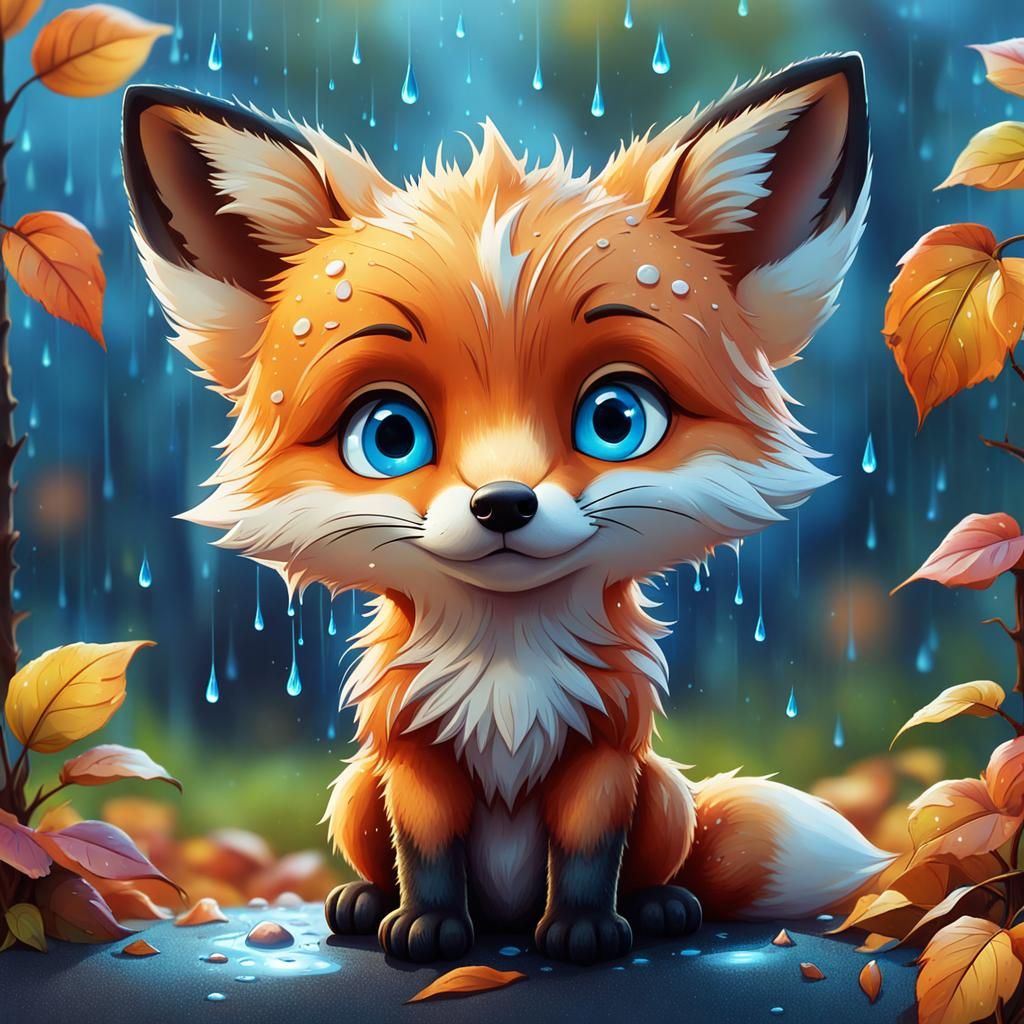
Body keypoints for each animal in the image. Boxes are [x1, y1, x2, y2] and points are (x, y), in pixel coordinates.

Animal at [121, 51, 894, 965]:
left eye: (615, 419)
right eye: (390, 434)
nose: (502, 504)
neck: (507, 670)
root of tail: (506, 918)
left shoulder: (603, 748)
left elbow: (590, 851)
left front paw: (585, 930)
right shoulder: (415, 749)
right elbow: (427, 849)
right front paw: (425, 927)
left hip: (664, 792)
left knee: (669, 856)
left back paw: (661, 905)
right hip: (356, 788)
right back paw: (361, 904)